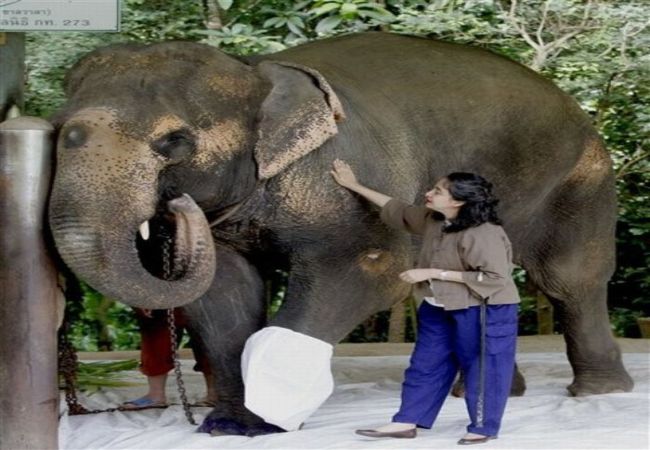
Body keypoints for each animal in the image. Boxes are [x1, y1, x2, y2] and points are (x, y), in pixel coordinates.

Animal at [48, 32, 634, 435]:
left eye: (173, 141)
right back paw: (492, 395)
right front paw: (233, 426)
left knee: (569, 278)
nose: (175, 208)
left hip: (583, 173)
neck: (257, 74)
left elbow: (369, 268)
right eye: (55, 130)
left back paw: (598, 392)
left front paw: (271, 418)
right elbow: (225, 292)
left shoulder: (345, 181)